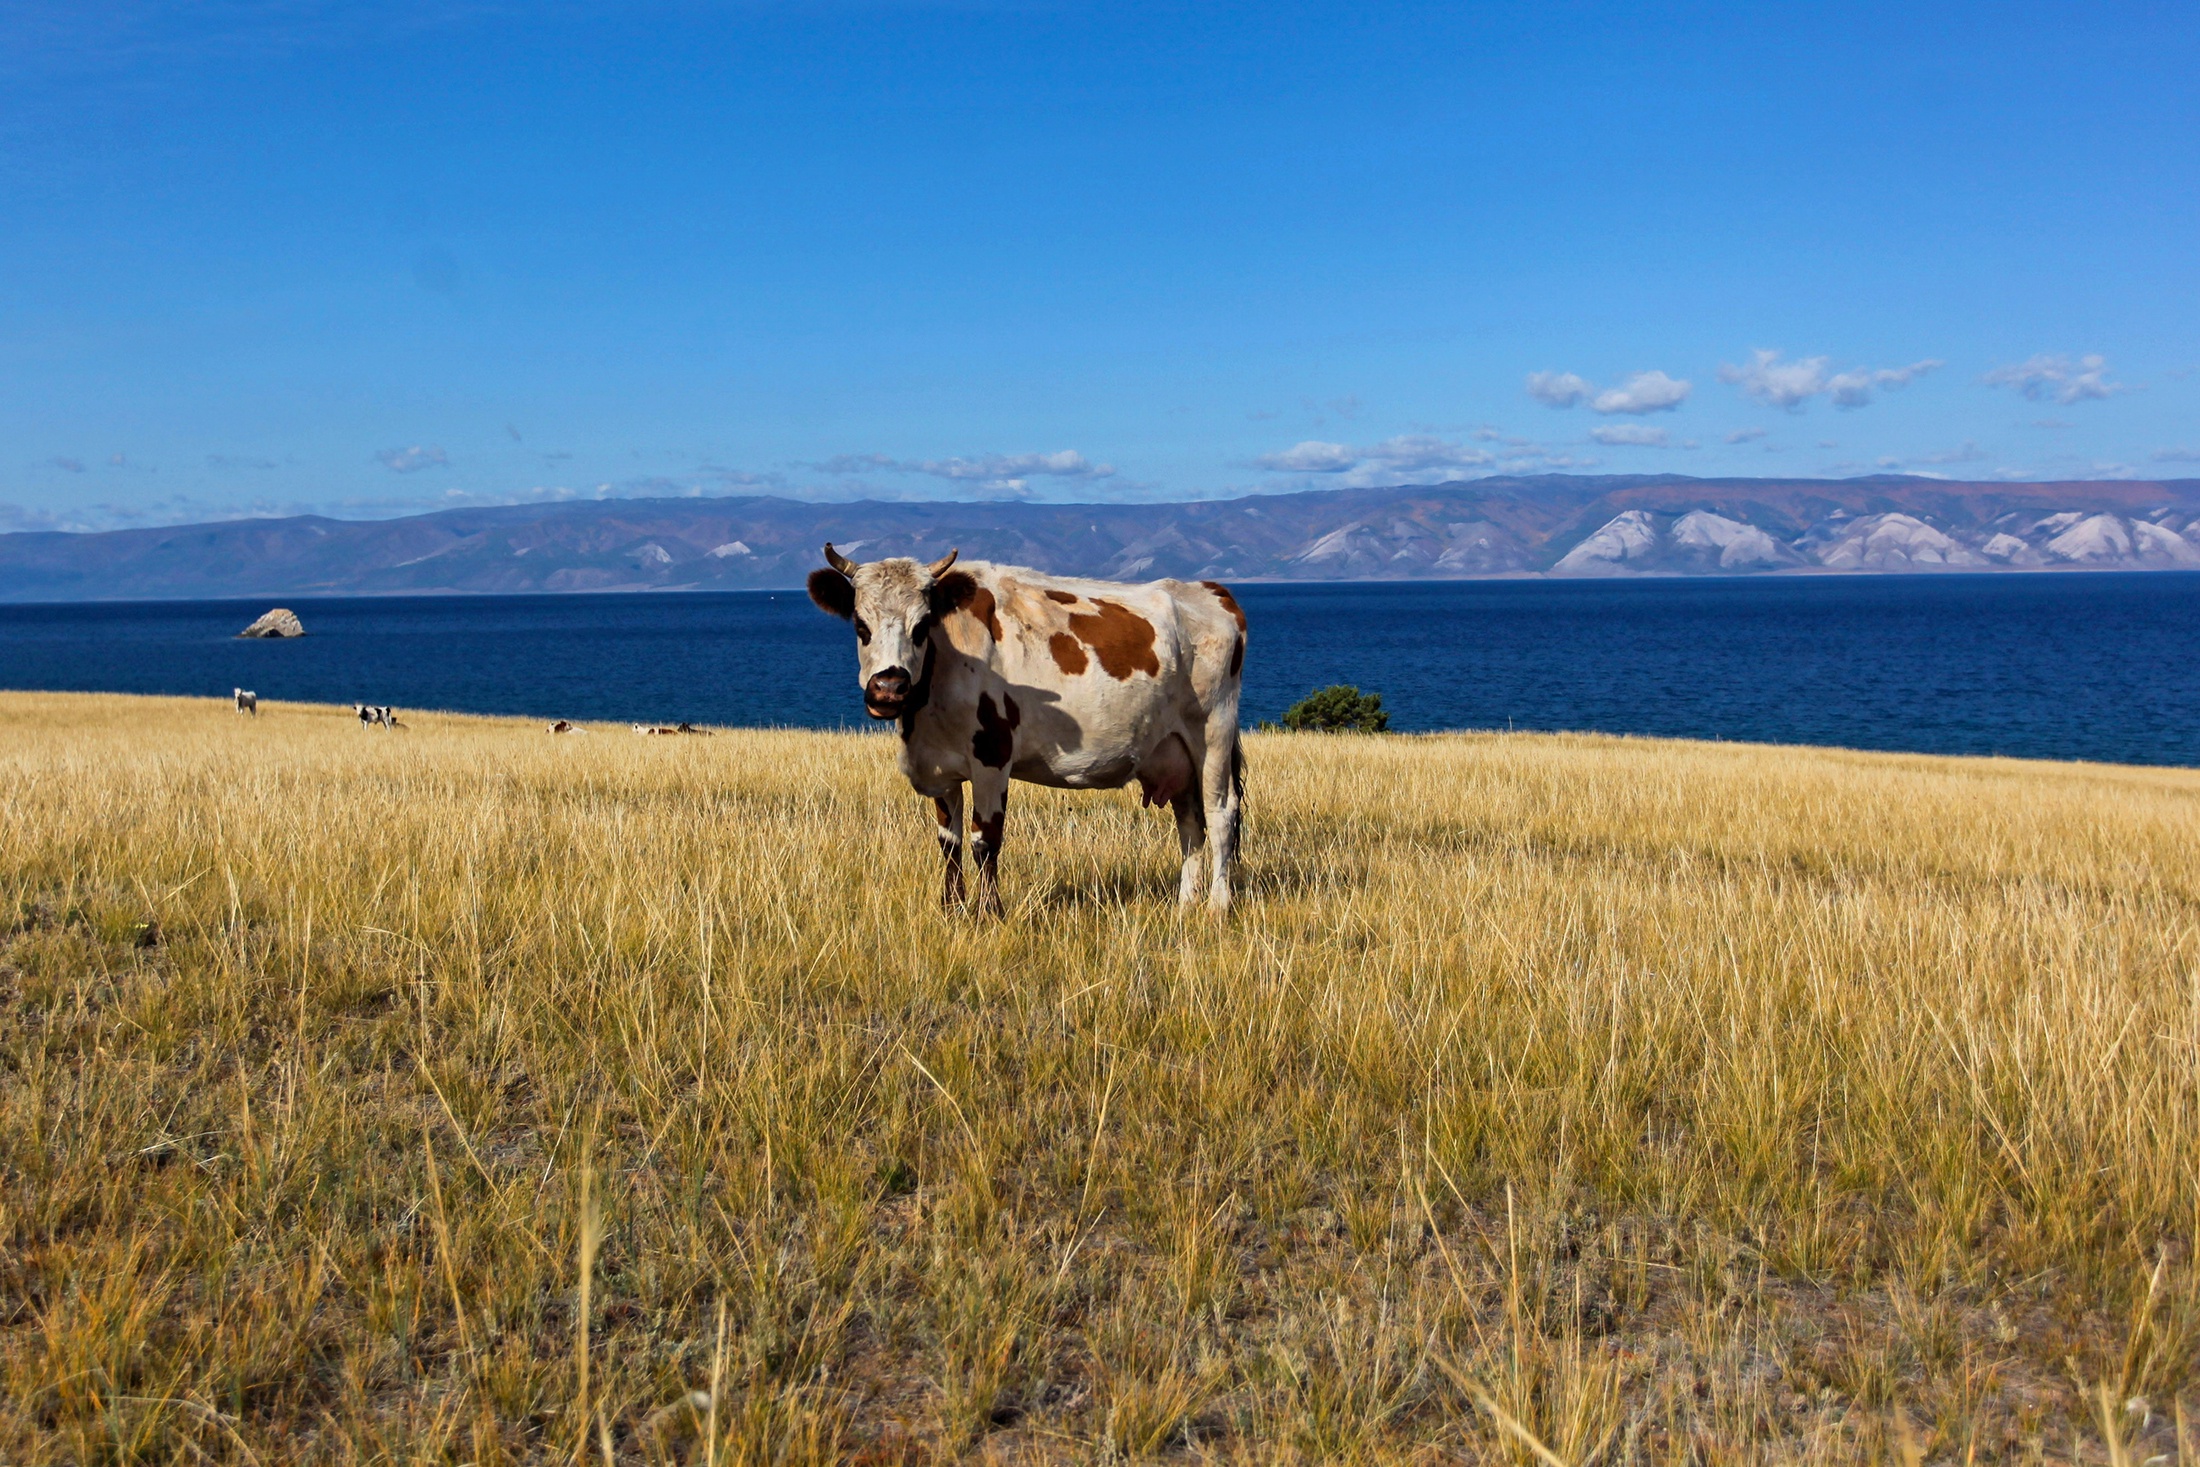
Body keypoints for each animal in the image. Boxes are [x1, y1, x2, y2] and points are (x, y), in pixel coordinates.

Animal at [807, 545, 1246, 915]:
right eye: (860, 626)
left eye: (922, 625)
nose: (889, 687)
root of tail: (1209, 590)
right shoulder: (940, 766)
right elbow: (949, 842)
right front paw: (951, 909)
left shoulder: (992, 756)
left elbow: (985, 840)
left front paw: (990, 913)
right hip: (1174, 752)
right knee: (1190, 821)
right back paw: (1185, 904)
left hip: (1213, 733)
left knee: (1220, 815)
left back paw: (1217, 906)